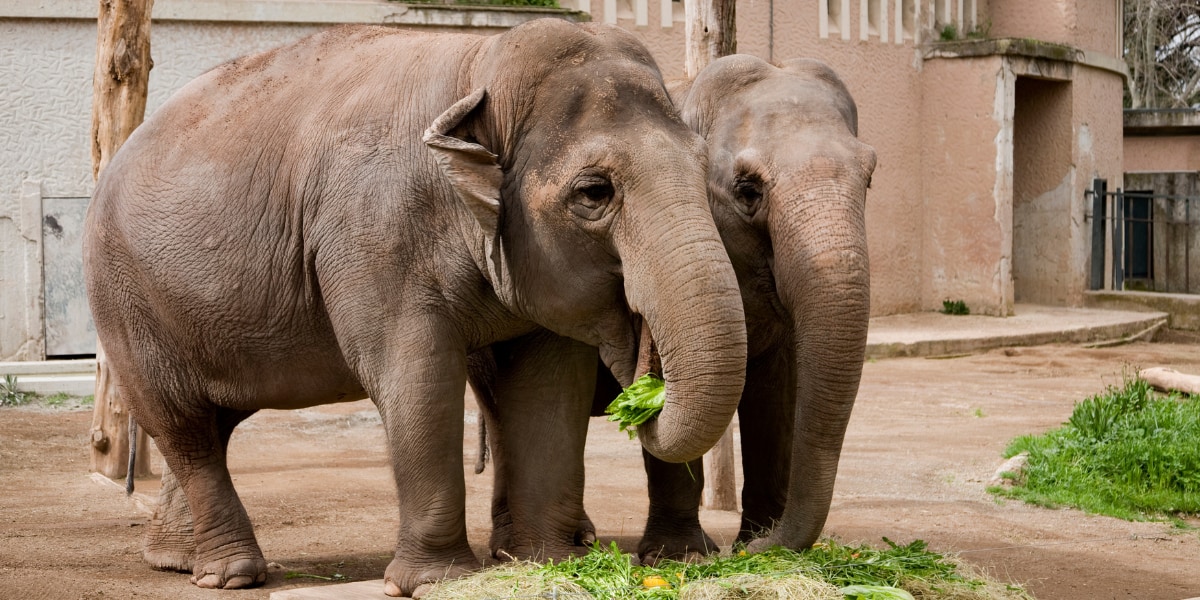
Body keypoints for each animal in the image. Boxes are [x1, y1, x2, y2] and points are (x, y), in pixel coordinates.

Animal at [84, 21, 744, 597]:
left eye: (702, 170)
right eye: (593, 193)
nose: (644, 384)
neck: (478, 65)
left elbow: (548, 387)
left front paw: (547, 565)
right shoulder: (373, 237)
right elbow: (416, 376)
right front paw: (435, 581)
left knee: (209, 425)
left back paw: (177, 561)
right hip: (124, 302)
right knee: (182, 425)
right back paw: (232, 574)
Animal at [470, 54, 883, 564]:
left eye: (870, 177)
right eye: (748, 191)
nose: (763, 545)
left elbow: (777, 394)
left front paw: (756, 546)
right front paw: (683, 557)